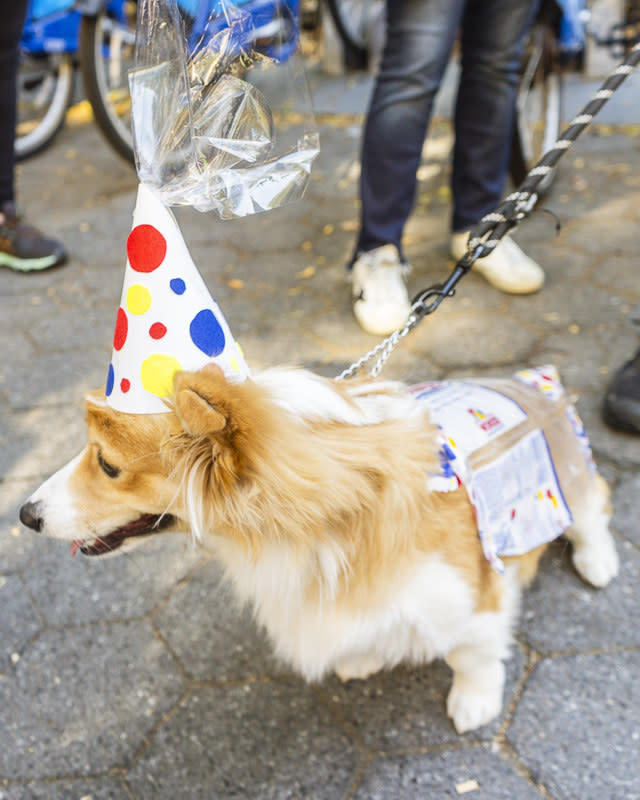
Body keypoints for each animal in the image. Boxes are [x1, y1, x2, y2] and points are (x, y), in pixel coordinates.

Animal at [21, 366, 620, 736]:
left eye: (108, 465)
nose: (25, 515)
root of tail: (532, 381)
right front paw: (363, 657)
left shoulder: (471, 594)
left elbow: (471, 653)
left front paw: (474, 702)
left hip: (568, 477)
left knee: (594, 508)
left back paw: (598, 562)